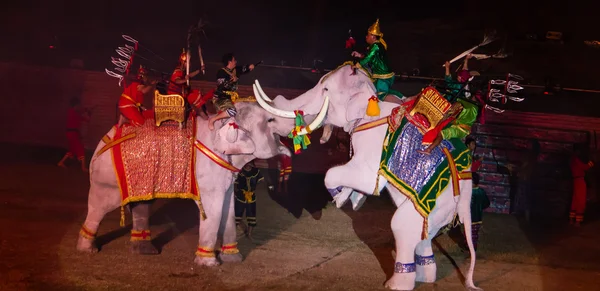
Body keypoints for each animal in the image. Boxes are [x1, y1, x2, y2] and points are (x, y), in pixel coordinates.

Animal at [76, 100, 328, 266]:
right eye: (270, 119)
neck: (220, 125)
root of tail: (106, 137)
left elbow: (228, 209)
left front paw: (233, 259)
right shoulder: (209, 173)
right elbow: (213, 210)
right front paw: (209, 263)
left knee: (142, 205)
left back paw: (146, 250)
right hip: (107, 178)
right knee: (99, 206)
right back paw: (88, 249)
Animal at [251, 64, 480, 291]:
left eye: (325, 90)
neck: (372, 102)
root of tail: (467, 195)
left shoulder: (374, 144)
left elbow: (359, 178)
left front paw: (341, 199)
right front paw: (353, 199)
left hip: (440, 201)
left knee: (402, 225)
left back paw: (396, 284)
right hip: (440, 210)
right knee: (425, 234)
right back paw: (425, 277)